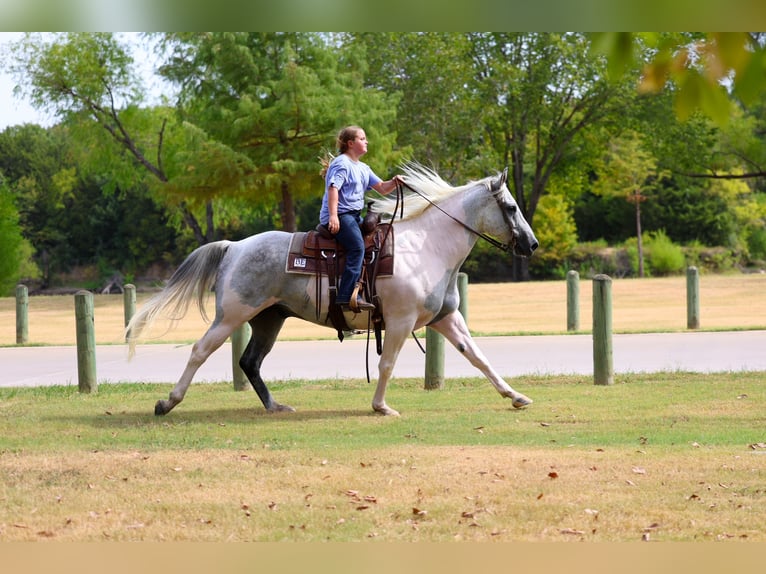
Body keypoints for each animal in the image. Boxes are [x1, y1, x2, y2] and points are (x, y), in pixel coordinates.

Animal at [126, 163, 539, 417]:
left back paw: (275, 406)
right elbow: (387, 364)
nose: (532, 244)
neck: (427, 247)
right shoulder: (401, 322)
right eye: (511, 207)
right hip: (233, 315)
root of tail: (235, 246)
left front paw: (516, 396)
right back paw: (168, 402)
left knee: (250, 362)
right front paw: (381, 406)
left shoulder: (446, 318)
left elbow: (478, 357)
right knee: (201, 350)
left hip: (268, 319)